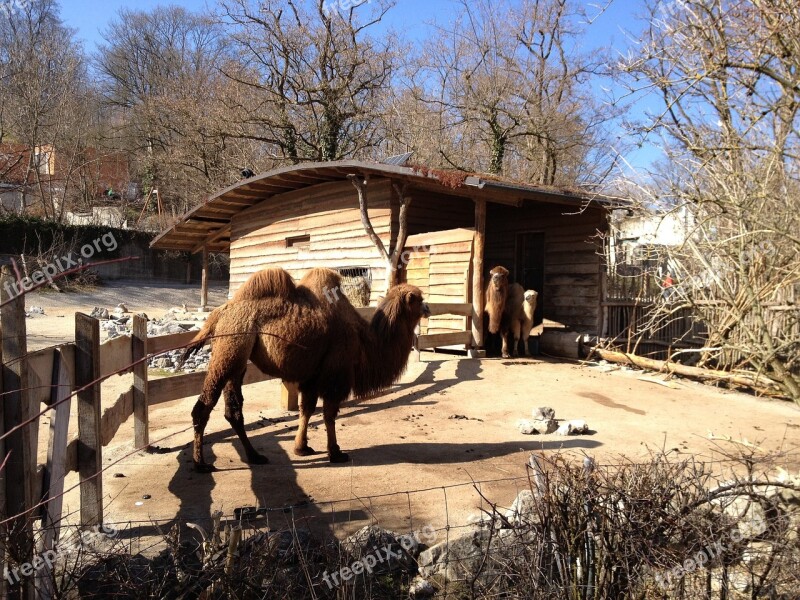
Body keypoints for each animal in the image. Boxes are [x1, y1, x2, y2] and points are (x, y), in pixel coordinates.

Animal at [182, 268, 432, 474]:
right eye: (418, 298)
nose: (428, 307)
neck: (365, 341)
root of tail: (218, 314)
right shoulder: (336, 373)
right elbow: (329, 413)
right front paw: (336, 452)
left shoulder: (314, 375)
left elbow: (307, 409)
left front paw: (301, 448)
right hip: (229, 350)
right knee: (202, 407)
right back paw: (201, 464)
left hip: (237, 358)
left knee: (233, 410)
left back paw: (254, 456)